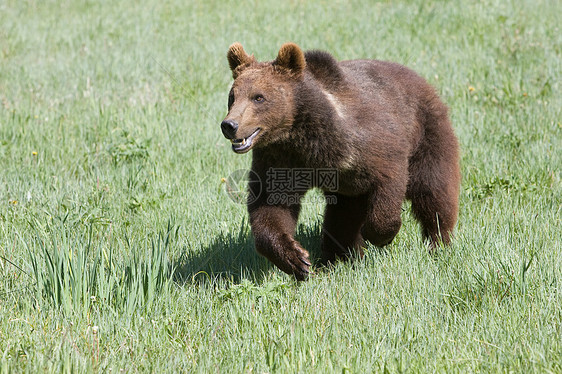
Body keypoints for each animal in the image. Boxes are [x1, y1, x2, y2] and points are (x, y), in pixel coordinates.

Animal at [220, 42, 460, 280]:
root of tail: (420, 79)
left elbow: (389, 181)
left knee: (433, 190)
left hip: (427, 133)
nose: (229, 125)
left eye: (258, 97)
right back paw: (340, 258)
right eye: (232, 96)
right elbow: (271, 205)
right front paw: (298, 260)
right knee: (342, 219)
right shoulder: (280, 160)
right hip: (349, 189)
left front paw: (379, 235)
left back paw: (438, 243)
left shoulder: (371, 143)